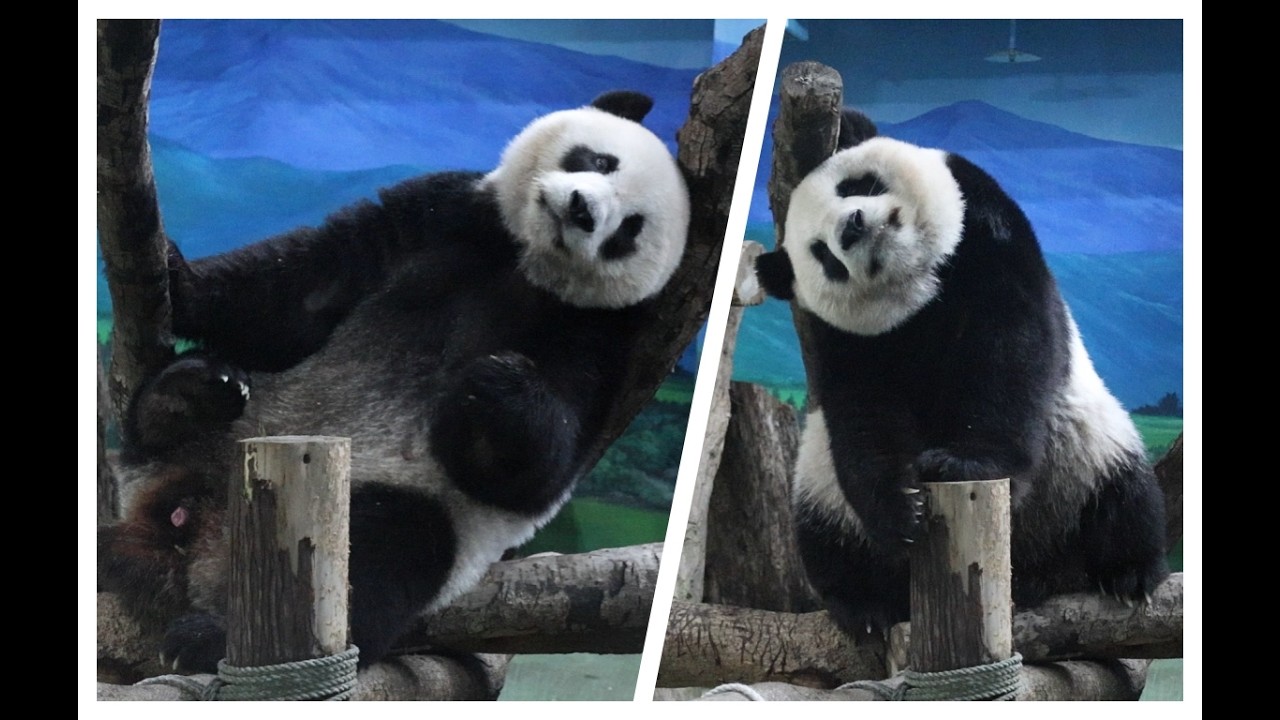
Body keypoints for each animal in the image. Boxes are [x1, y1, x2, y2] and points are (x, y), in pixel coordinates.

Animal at [98, 90, 691, 672]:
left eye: (629, 229)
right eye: (599, 161)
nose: (582, 210)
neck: (529, 268)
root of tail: (190, 545)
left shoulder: (606, 340)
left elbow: (534, 473)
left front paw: (498, 382)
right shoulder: (449, 216)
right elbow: (306, 288)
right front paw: (179, 274)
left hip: (400, 508)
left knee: (381, 554)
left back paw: (214, 638)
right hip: (230, 431)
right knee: (165, 429)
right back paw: (185, 396)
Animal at [753, 109, 1169, 636]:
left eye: (855, 186)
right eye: (822, 254)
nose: (851, 227)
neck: (920, 292)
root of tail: (1029, 564)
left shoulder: (987, 238)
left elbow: (1009, 354)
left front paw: (961, 463)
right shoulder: (847, 340)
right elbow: (863, 413)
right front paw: (902, 508)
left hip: (1085, 454)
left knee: (1122, 501)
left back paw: (1126, 575)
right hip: (818, 482)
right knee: (826, 539)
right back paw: (866, 606)